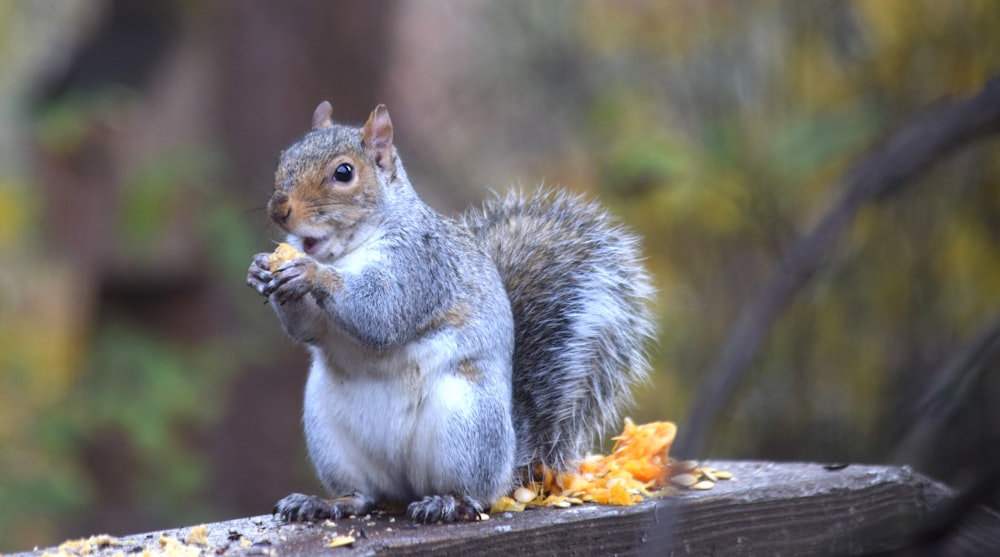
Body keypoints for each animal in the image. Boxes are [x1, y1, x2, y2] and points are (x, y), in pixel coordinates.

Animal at [246, 102, 656, 524]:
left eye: (344, 172)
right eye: (283, 157)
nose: (279, 209)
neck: (346, 251)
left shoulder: (422, 266)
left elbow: (382, 314)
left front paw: (311, 273)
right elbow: (308, 330)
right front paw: (262, 270)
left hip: (465, 427)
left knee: (476, 493)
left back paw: (448, 502)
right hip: (329, 433)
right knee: (364, 494)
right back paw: (325, 503)